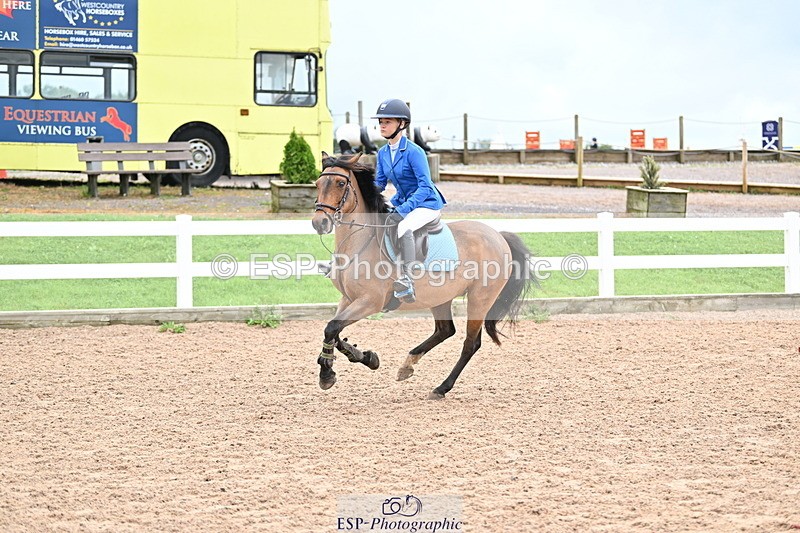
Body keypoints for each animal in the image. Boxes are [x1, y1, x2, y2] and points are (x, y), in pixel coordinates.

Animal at [311, 152, 535, 399]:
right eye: (318, 184)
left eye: (340, 183)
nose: (319, 222)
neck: (359, 243)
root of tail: (498, 235)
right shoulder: (348, 299)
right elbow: (333, 330)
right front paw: (364, 357)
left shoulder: (369, 302)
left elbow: (332, 328)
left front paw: (327, 374)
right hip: (441, 297)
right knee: (445, 330)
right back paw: (408, 365)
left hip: (480, 298)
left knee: (470, 343)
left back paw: (441, 388)